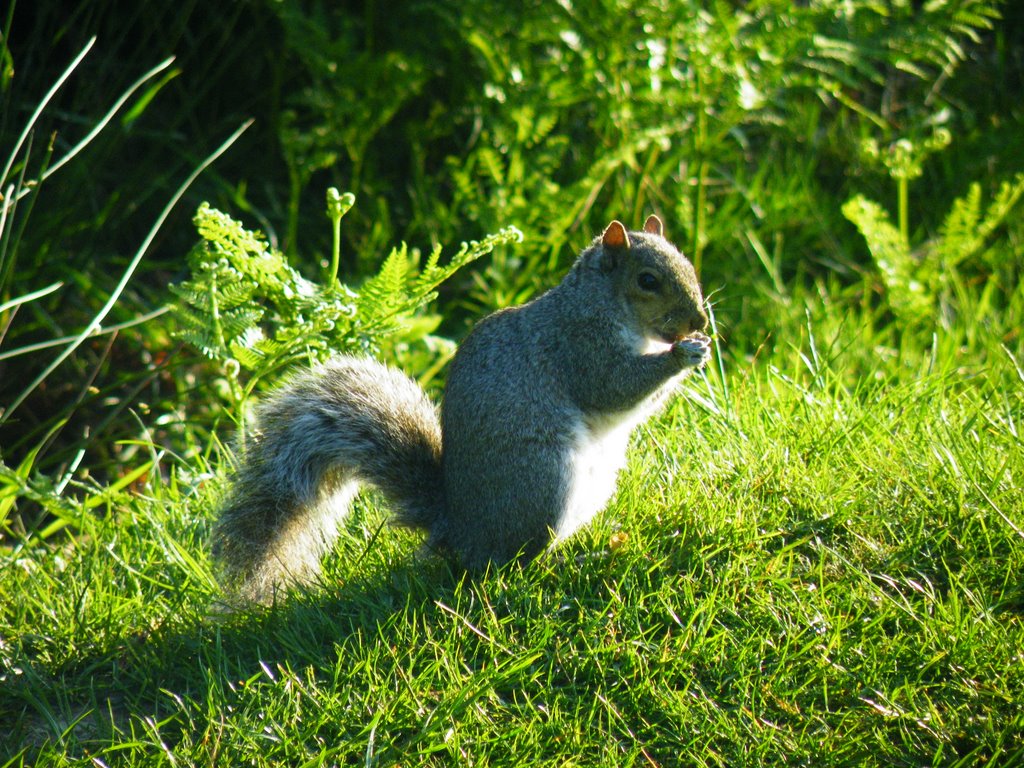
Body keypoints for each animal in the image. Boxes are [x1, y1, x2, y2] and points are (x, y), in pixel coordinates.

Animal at [214, 215, 712, 602]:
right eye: (647, 281)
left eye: (688, 265)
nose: (700, 320)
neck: (600, 303)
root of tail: (458, 531)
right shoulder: (580, 347)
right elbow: (616, 386)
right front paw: (683, 354)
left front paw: (700, 346)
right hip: (541, 483)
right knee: (507, 564)